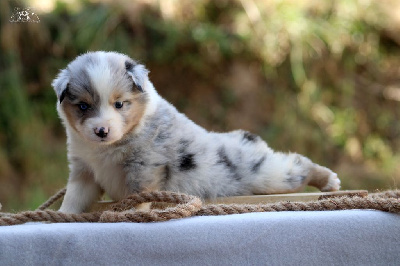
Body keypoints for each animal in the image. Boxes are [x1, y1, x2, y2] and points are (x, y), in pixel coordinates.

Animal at [52, 51, 340, 214]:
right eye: (83, 106)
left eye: (119, 104)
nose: (101, 130)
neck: (107, 148)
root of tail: (247, 137)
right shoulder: (84, 170)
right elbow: (74, 196)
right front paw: (62, 216)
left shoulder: (144, 167)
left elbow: (139, 196)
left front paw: (126, 215)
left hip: (268, 175)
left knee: (298, 163)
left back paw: (329, 180)